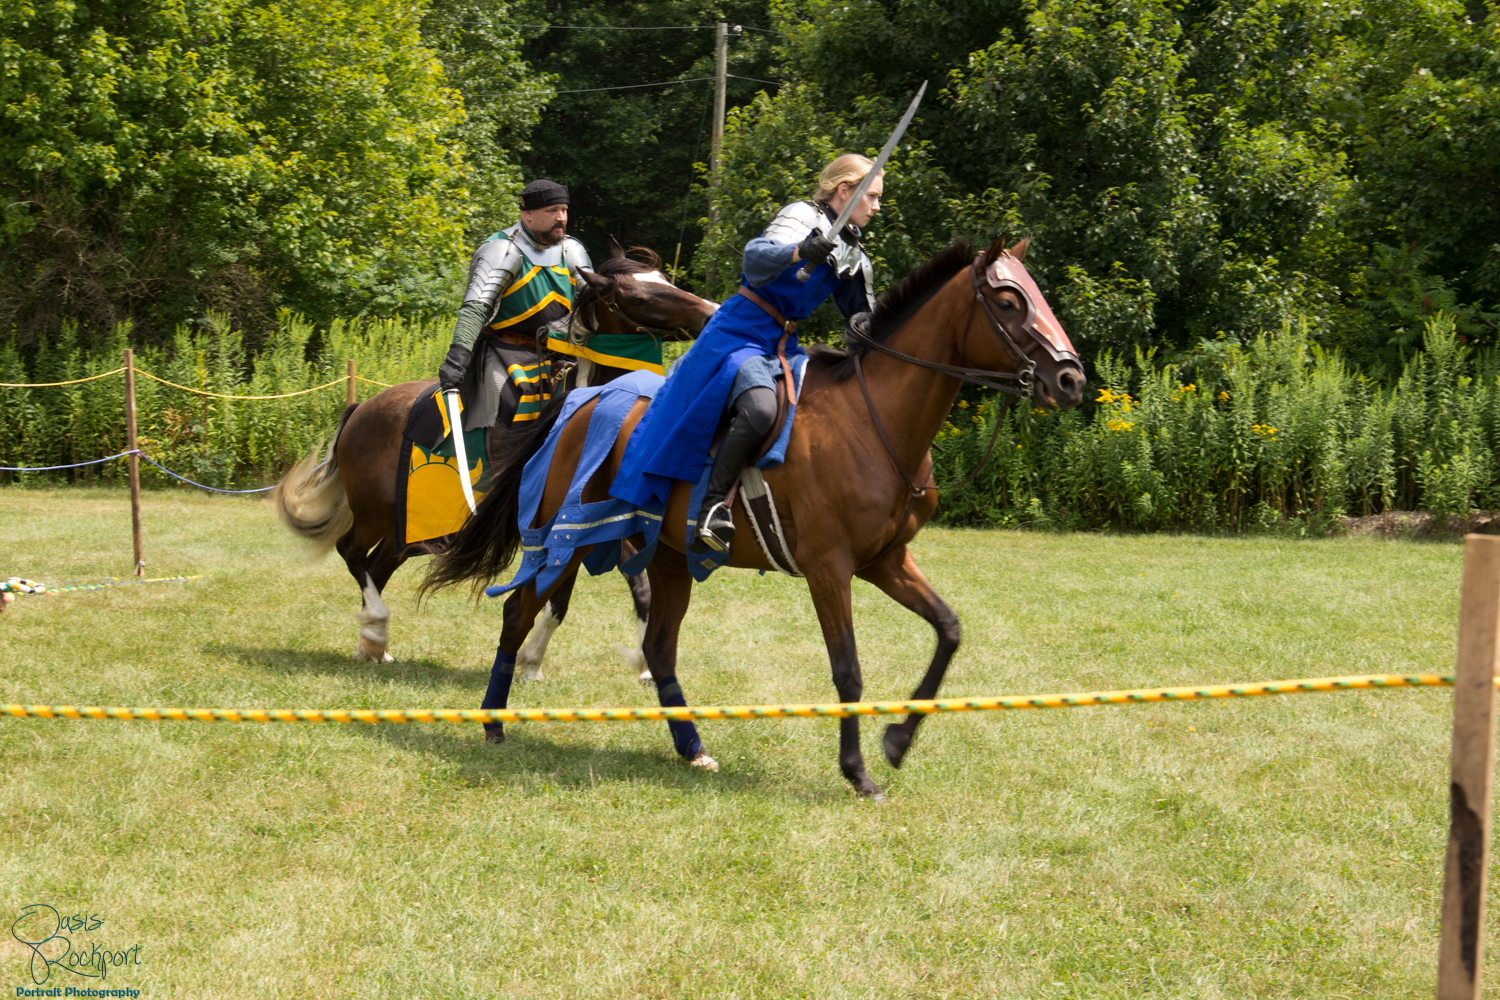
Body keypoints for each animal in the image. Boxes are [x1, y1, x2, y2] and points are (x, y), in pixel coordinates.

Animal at [275, 246, 717, 669]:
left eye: (664, 279)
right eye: (640, 296)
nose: (710, 311)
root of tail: (361, 408)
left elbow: (618, 593)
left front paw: (634, 663)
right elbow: (564, 596)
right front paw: (533, 661)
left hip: (411, 522)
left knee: (378, 564)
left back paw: (372, 646)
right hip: (373, 512)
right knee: (352, 552)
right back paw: (376, 628)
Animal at [424, 235, 1087, 798]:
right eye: (1009, 300)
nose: (1070, 378)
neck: (873, 421)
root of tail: (580, 404)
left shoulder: (886, 561)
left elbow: (948, 630)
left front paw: (897, 740)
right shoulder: (829, 569)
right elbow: (848, 671)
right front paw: (857, 771)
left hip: (667, 557)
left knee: (658, 647)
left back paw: (691, 747)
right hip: (569, 540)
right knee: (519, 612)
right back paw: (493, 721)